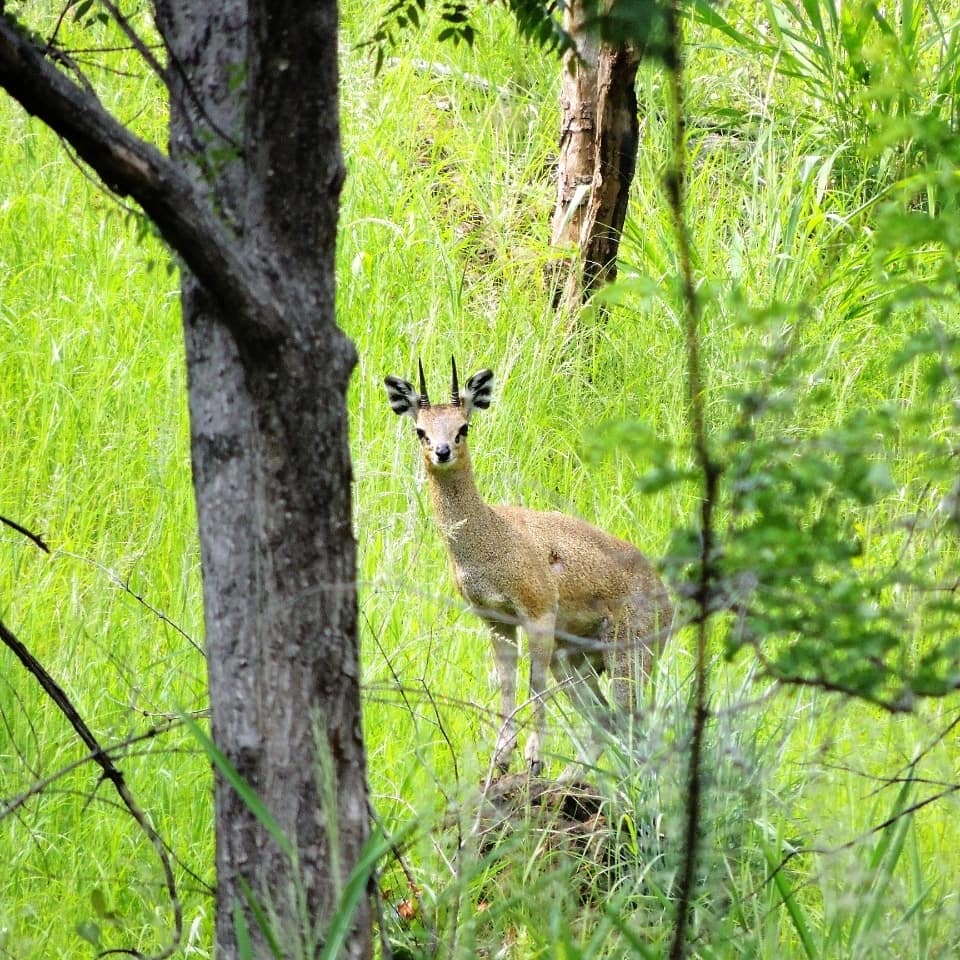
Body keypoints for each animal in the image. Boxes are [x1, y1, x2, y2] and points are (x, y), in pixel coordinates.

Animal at [386, 358, 672, 772]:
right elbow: (507, 681)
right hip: (575, 662)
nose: (442, 451)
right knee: (606, 719)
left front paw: (534, 755)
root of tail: (669, 601)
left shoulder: (538, 613)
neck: (492, 537)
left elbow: (534, 681)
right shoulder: (496, 619)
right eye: (420, 429)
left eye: (463, 426)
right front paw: (503, 756)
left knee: (632, 722)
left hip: (629, 656)